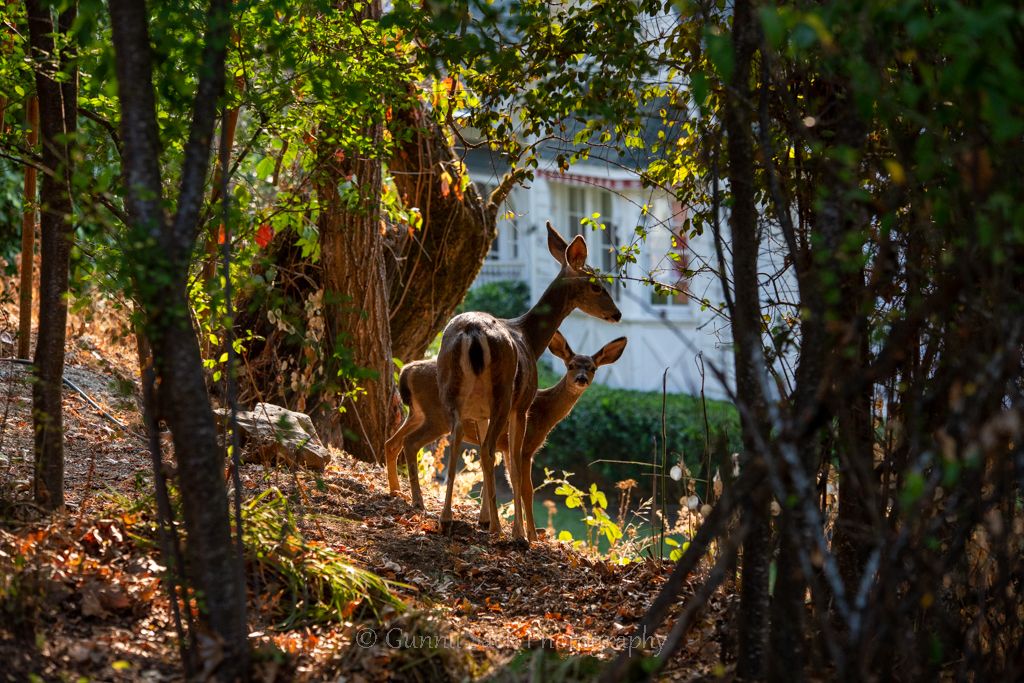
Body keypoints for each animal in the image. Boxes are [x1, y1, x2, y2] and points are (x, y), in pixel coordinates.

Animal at [385, 331, 628, 540]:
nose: (581, 379)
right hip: (437, 417)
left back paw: (396, 491)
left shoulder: (505, 447)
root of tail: (407, 371)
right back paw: (417, 501)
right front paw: (531, 535)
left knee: (393, 441)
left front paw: (492, 522)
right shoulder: (527, 447)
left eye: (593, 368)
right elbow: (526, 488)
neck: (543, 412)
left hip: (417, 414)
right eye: (571, 365)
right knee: (410, 442)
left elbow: (503, 479)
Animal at [433, 222, 621, 541]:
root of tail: (472, 332)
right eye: (596, 285)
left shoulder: (481, 413)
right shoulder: (521, 406)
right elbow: (518, 473)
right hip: (503, 393)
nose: (617, 314)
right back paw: (500, 530)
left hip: (451, 390)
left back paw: (446, 520)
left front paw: (485, 519)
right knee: (484, 450)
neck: (530, 339)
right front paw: (521, 533)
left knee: (457, 443)